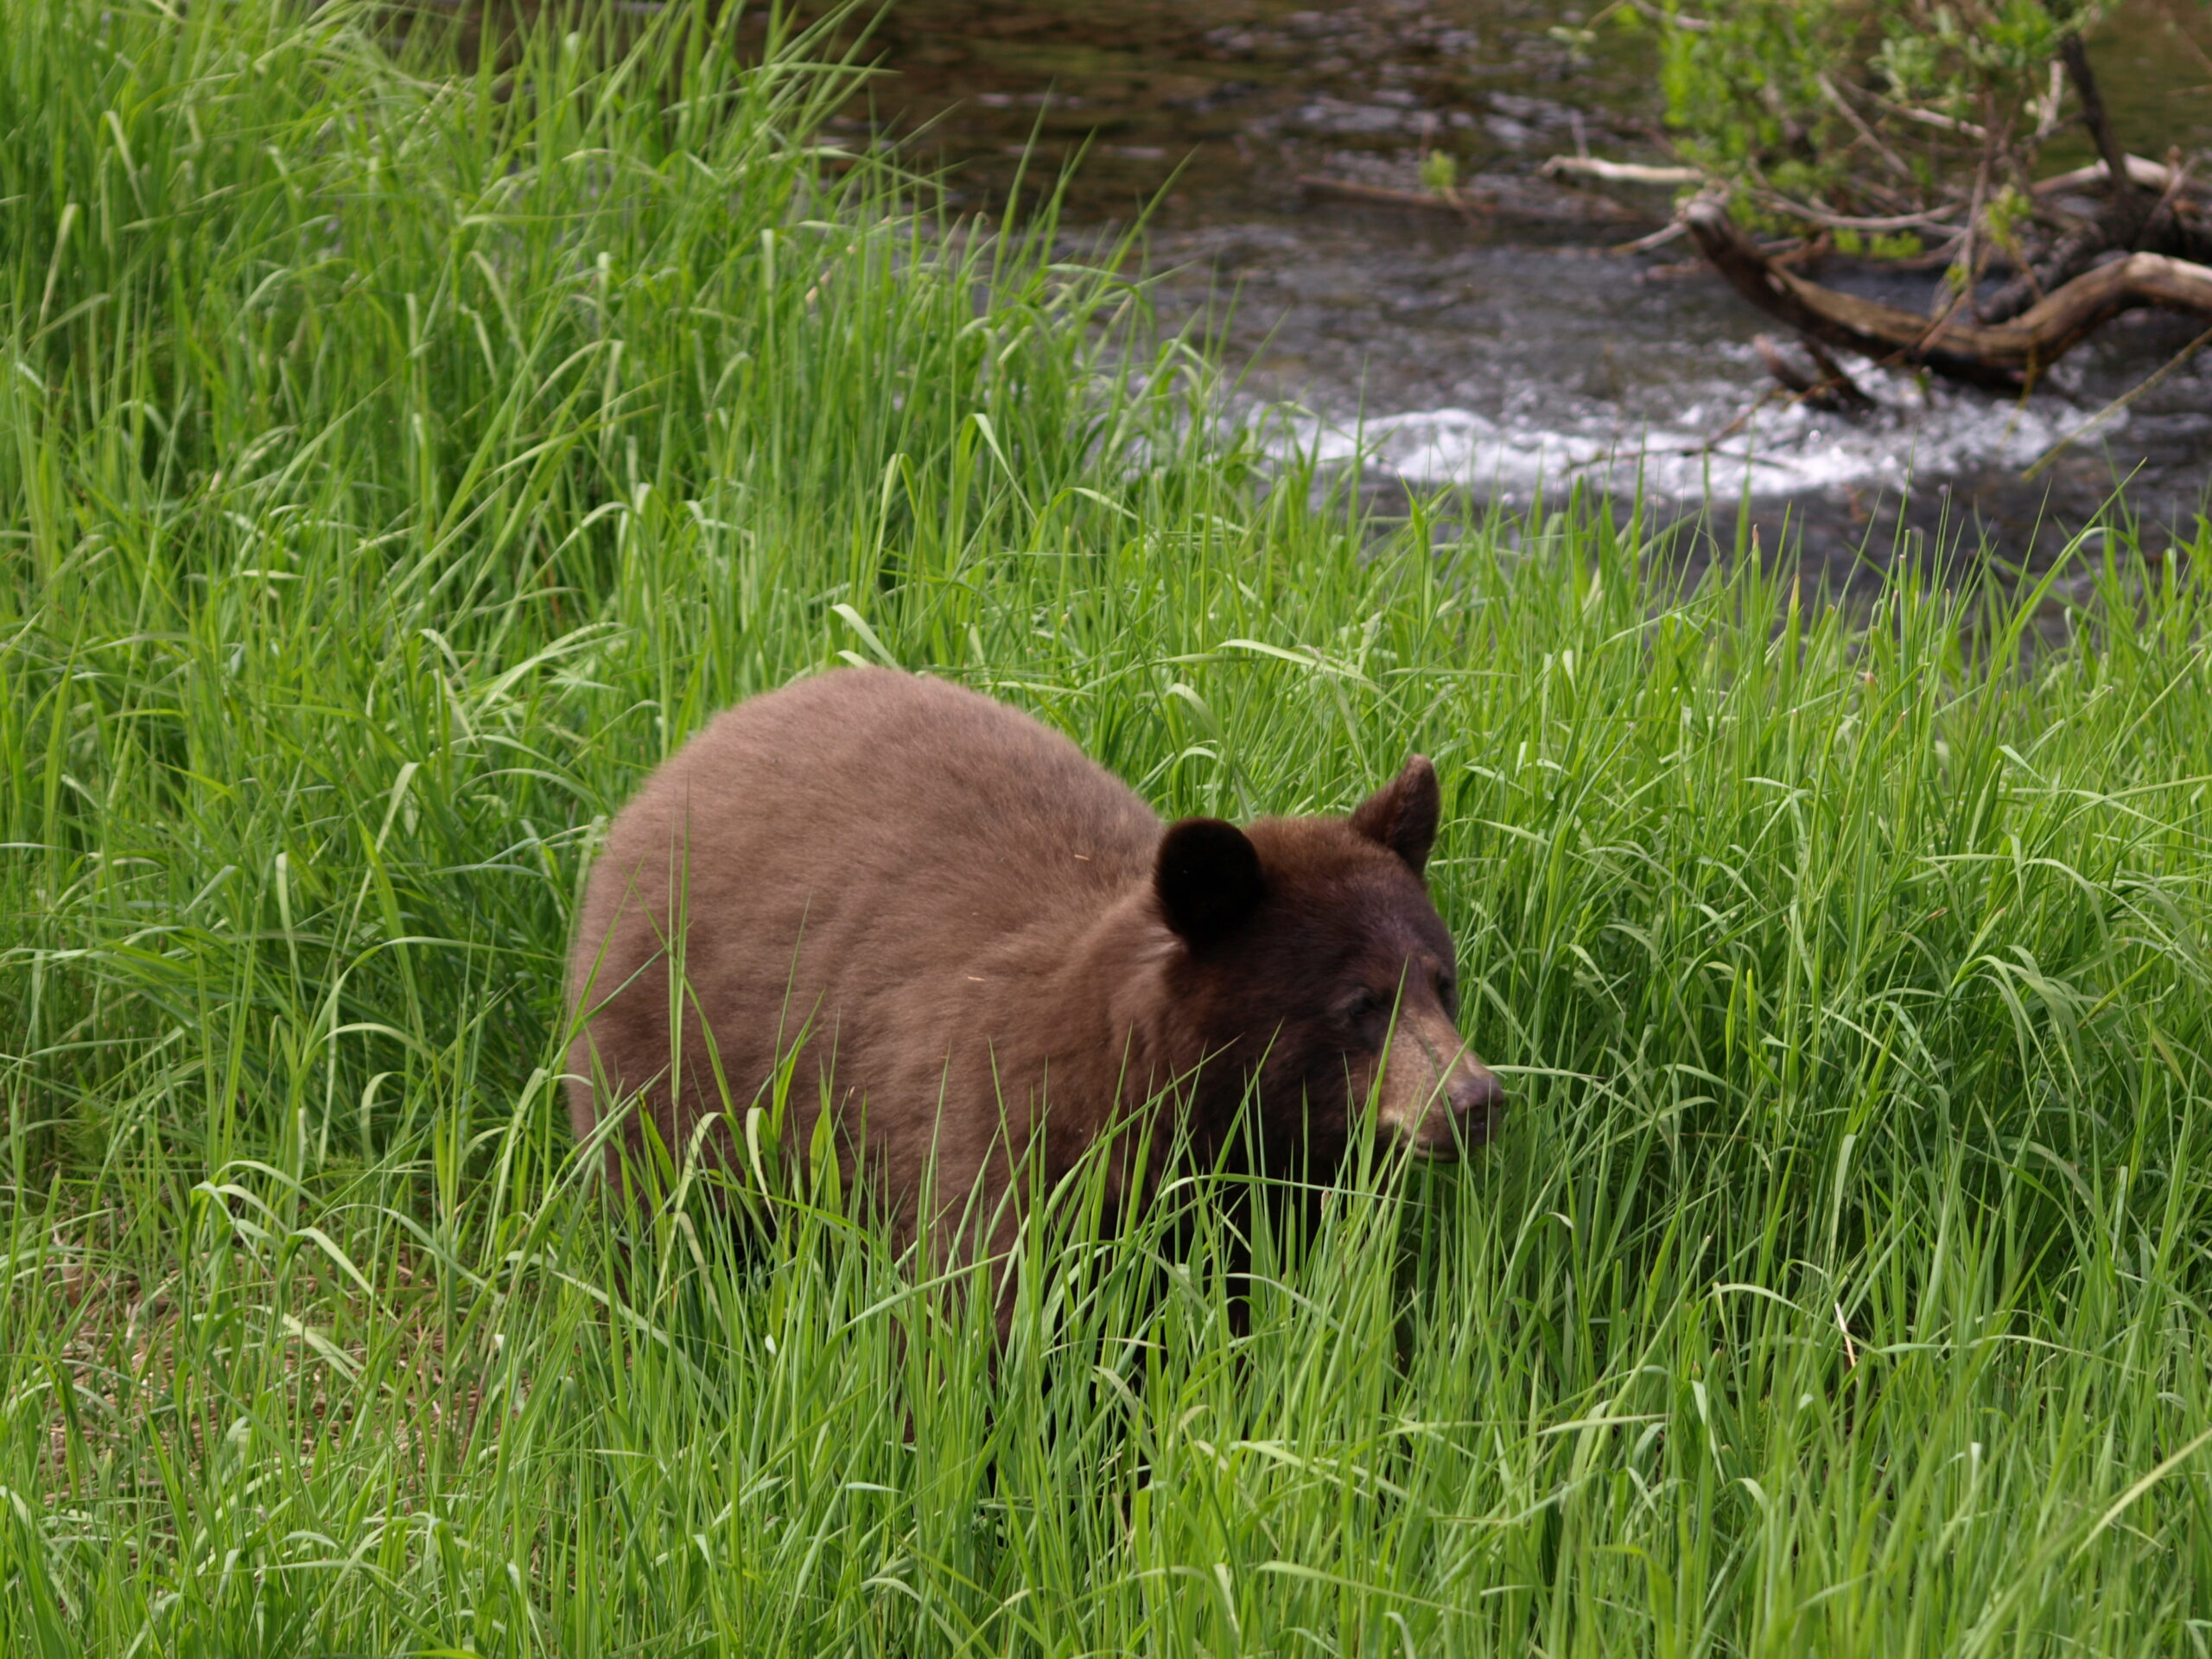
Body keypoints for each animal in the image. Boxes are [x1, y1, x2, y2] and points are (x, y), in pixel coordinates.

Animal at [563, 667, 1502, 1285]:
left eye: (1442, 980)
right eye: (1358, 1003)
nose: (1474, 1099)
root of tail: (688, 751)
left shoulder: (1267, 1199)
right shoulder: (996, 1152)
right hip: (665, 1058)